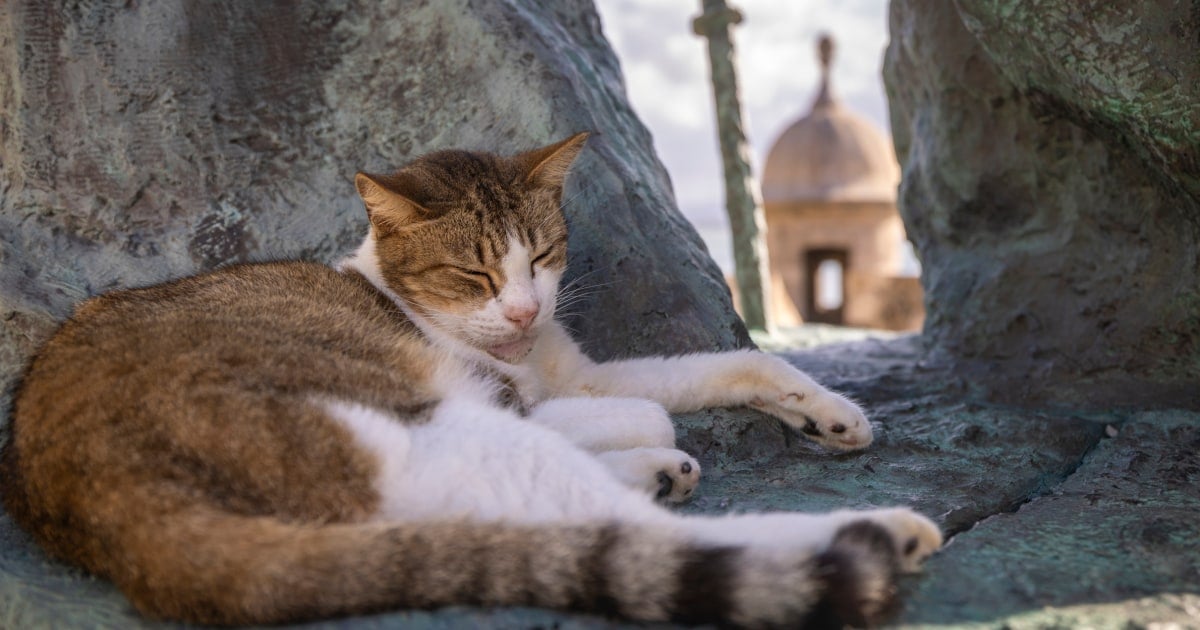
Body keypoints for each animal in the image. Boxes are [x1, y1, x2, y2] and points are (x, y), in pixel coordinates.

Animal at [0, 131, 940, 624]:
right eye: (475, 274)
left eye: (545, 256)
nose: (524, 311)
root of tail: (108, 511)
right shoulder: (521, 399)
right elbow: (652, 409)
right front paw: (655, 444)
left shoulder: (574, 372)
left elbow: (729, 363)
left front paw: (827, 411)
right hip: (413, 427)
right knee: (632, 537)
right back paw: (879, 531)